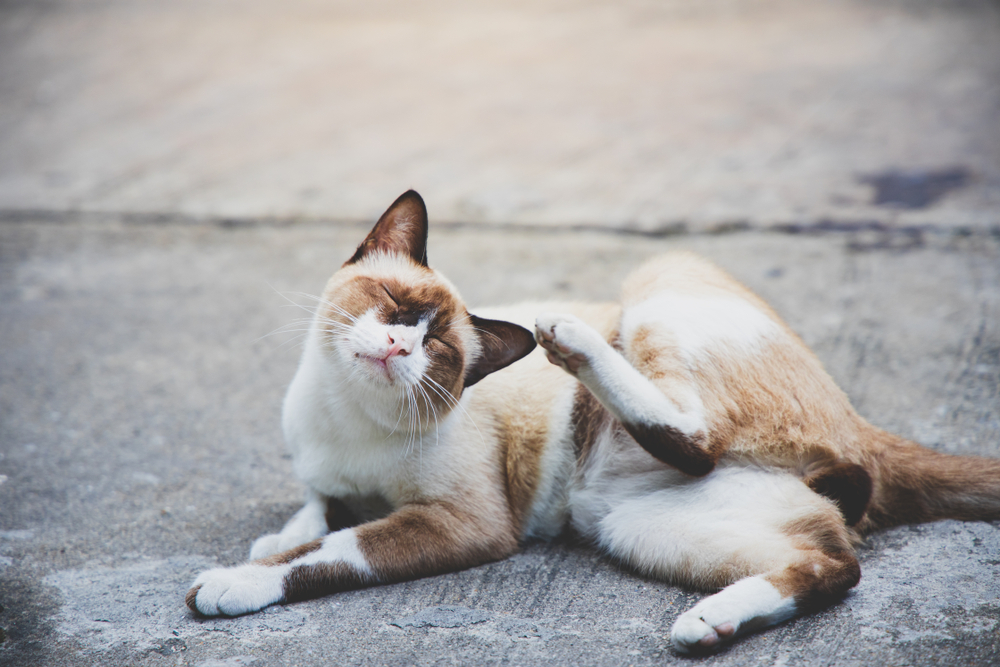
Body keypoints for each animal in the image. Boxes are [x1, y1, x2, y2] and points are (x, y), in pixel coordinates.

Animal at [186, 188, 1000, 652]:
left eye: (438, 346)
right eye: (391, 303)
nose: (395, 346)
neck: (346, 417)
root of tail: (862, 424)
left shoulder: (461, 523)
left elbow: (328, 550)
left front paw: (230, 584)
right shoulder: (326, 479)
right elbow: (310, 515)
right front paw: (272, 539)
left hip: (655, 283)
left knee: (700, 442)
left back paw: (568, 337)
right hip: (636, 524)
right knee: (831, 561)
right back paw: (708, 625)